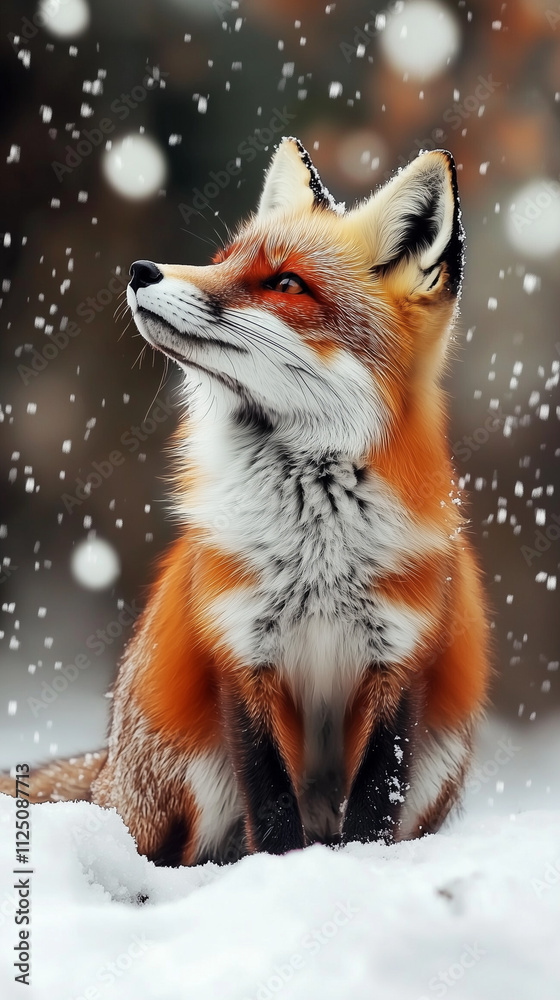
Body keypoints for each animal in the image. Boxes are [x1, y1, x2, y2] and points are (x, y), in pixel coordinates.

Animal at [0, 139, 490, 866]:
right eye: (224, 259)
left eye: (285, 284)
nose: (141, 270)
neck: (317, 550)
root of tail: (107, 766)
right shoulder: (240, 656)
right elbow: (272, 800)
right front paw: (284, 871)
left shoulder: (401, 666)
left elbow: (375, 801)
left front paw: (357, 868)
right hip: (189, 771)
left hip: (442, 752)